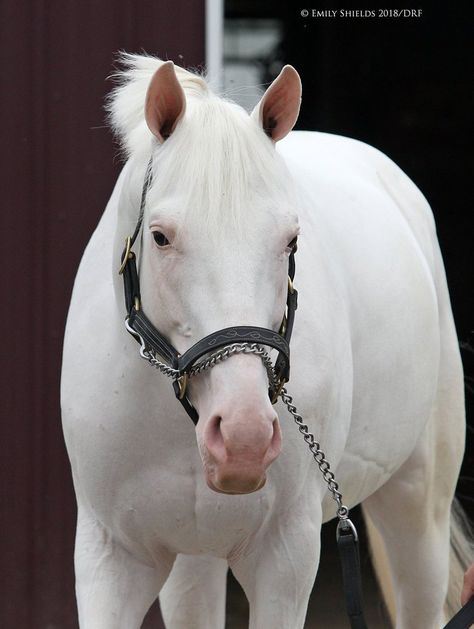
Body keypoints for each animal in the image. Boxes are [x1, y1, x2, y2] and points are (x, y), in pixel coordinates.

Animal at [61, 55, 468, 628]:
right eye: (160, 237)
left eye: (291, 241)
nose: (244, 438)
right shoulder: (112, 557)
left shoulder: (284, 558)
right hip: (194, 556)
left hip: (417, 506)